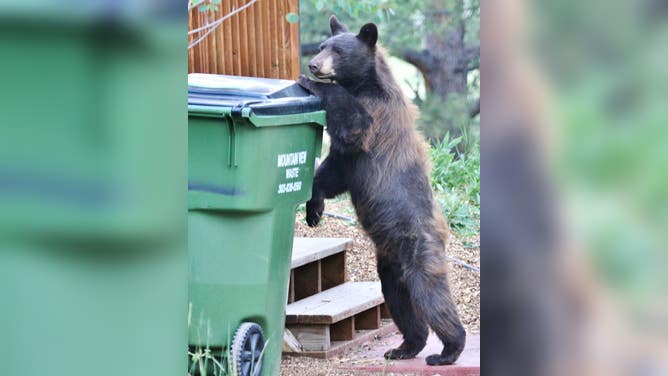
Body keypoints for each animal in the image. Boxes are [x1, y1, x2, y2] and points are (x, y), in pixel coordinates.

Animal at [298, 16, 464, 366]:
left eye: (338, 51)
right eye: (321, 45)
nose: (314, 64)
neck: (363, 84)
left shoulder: (374, 116)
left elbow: (352, 123)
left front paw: (311, 82)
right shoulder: (350, 159)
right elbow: (331, 174)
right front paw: (314, 211)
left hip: (418, 250)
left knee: (431, 296)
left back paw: (446, 351)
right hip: (389, 264)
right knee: (398, 299)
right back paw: (404, 347)